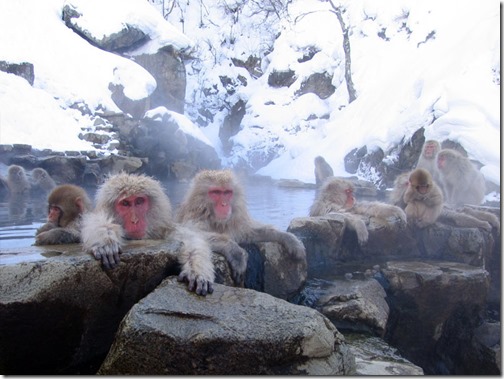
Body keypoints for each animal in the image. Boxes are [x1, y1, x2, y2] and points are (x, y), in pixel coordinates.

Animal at [82, 173, 215, 296]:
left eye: (139, 201)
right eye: (125, 203)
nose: (135, 220)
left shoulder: (166, 230)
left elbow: (191, 240)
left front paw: (196, 271)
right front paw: (105, 240)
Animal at [175, 171, 306, 286]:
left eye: (227, 192)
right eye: (216, 192)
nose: (224, 204)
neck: (216, 220)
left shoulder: (234, 222)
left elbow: (248, 233)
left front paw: (288, 238)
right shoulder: (195, 218)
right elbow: (190, 234)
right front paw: (236, 252)